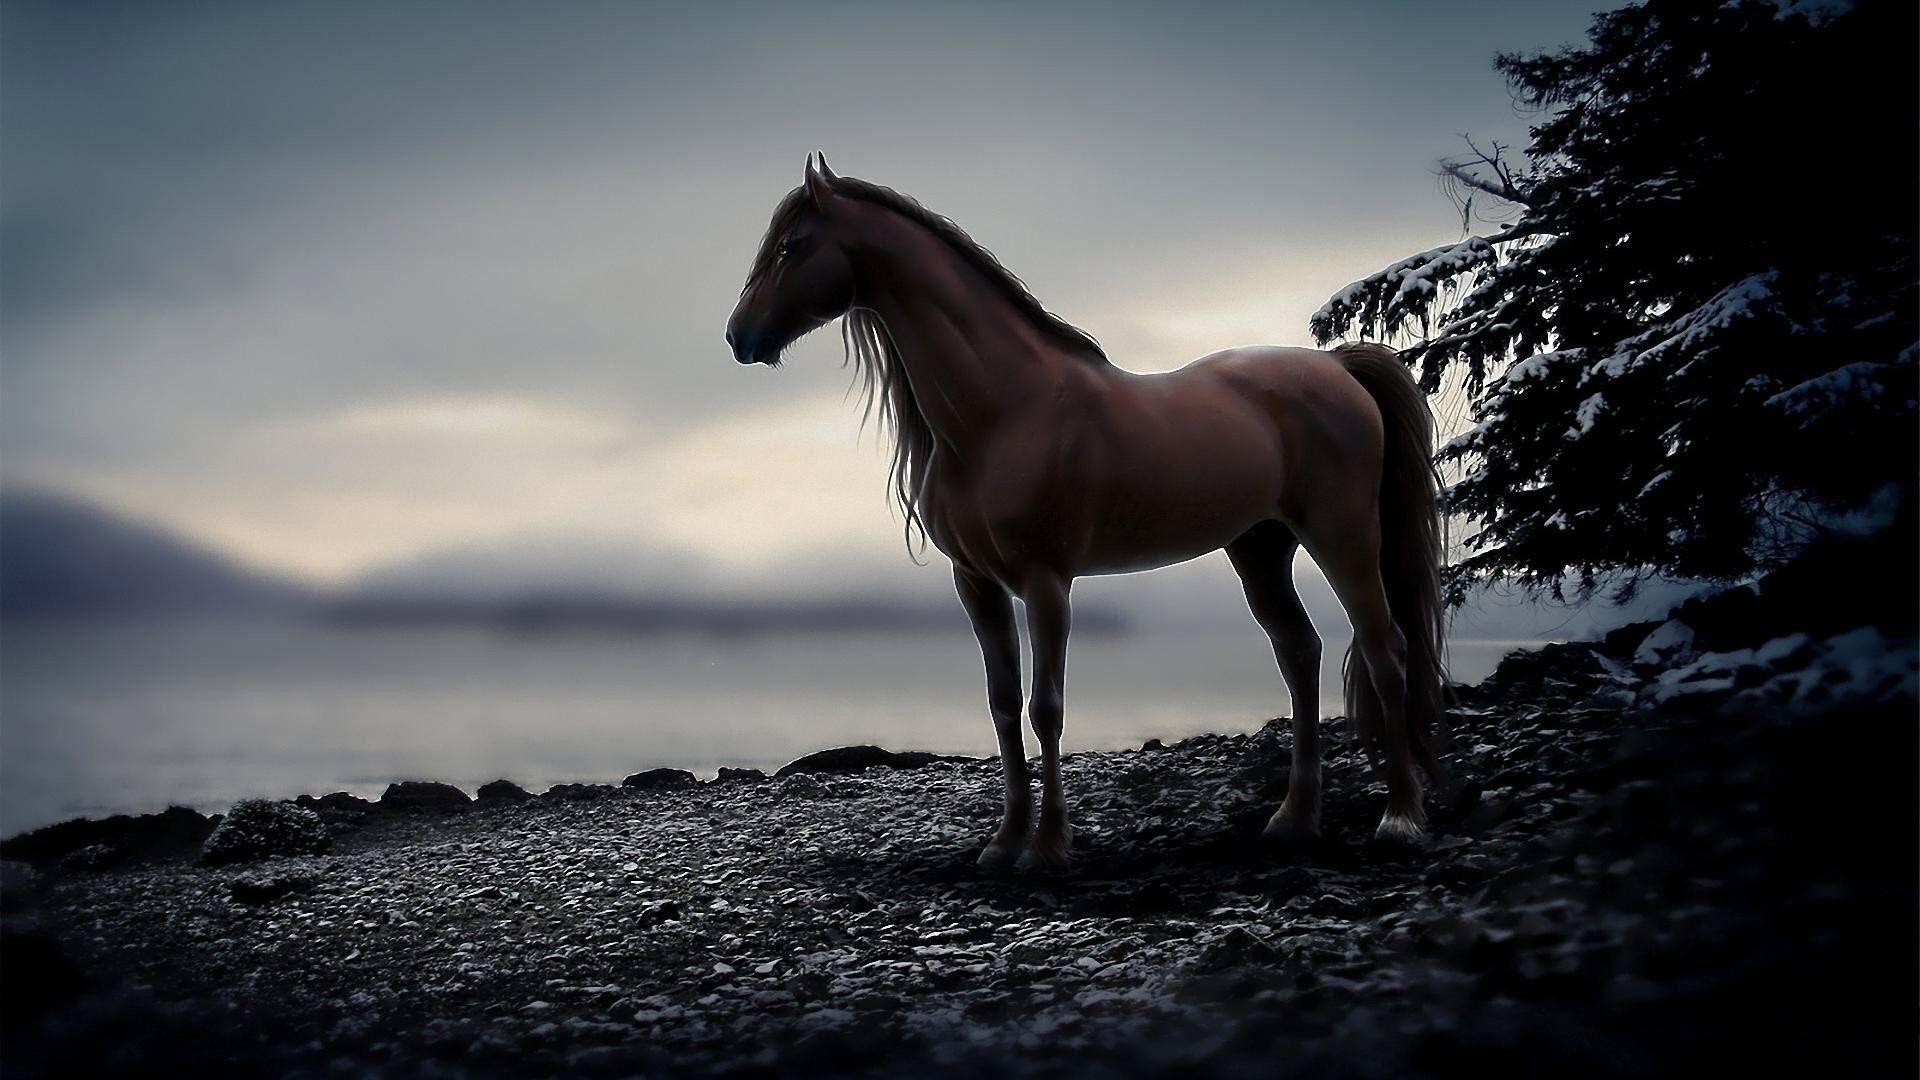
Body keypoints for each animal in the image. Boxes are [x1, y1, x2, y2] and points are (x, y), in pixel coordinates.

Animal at [725, 154, 1447, 869]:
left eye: (791, 246)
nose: (738, 335)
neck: (1004, 409)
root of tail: (1339, 369)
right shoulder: (977, 585)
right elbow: (1001, 705)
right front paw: (1004, 841)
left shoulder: (1046, 582)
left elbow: (1046, 708)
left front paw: (1046, 847)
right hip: (1259, 549)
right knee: (1299, 653)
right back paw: (1294, 819)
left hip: (1343, 536)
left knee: (1385, 650)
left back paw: (1400, 818)